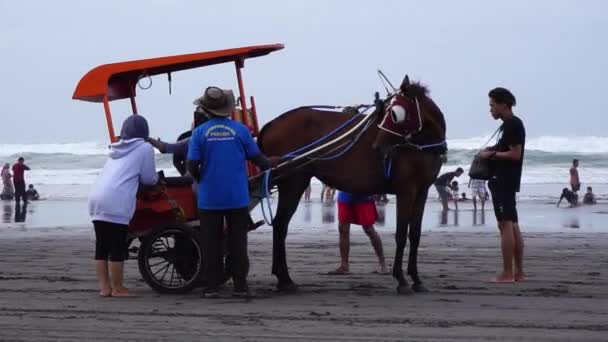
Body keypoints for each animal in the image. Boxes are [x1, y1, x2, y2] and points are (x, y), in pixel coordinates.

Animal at [256, 77, 446, 294]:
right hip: (293, 181)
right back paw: (285, 278)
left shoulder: (422, 190)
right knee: (280, 225)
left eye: (395, 113)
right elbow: (401, 234)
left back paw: (282, 278)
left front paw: (416, 278)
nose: (378, 146)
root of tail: (272, 123)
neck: (419, 144)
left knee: (280, 224)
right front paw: (401, 279)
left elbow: (414, 234)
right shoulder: (406, 190)